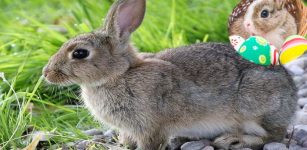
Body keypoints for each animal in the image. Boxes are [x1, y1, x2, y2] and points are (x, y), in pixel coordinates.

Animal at [43, 0, 298, 149]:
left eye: (80, 53)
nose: (46, 73)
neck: (119, 75)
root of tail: (292, 95)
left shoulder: (151, 127)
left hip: (256, 106)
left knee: (274, 136)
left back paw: (232, 139)